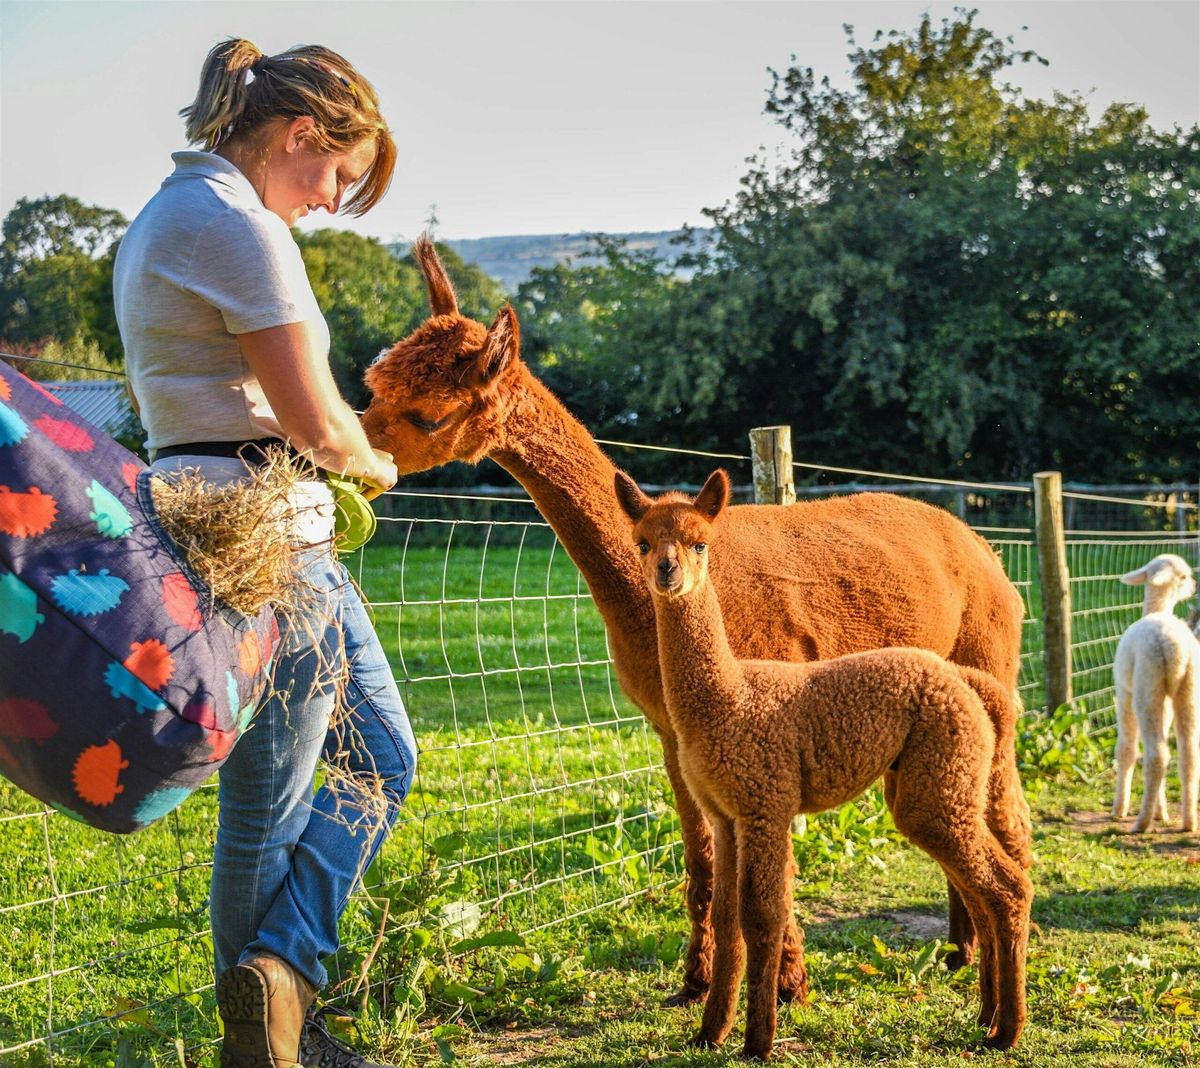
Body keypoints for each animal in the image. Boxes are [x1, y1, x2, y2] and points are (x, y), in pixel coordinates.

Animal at [1108, 554, 1195, 830]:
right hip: (1188, 688)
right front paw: (1162, 812)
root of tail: (1174, 648)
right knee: (1188, 754)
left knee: (1157, 754)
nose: (1194, 585)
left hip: (1146, 683)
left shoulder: (1123, 691)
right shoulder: (1164, 699)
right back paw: (1189, 822)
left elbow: (1126, 749)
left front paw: (1119, 809)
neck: (1157, 609)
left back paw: (1141, 822)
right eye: (1185, 576)